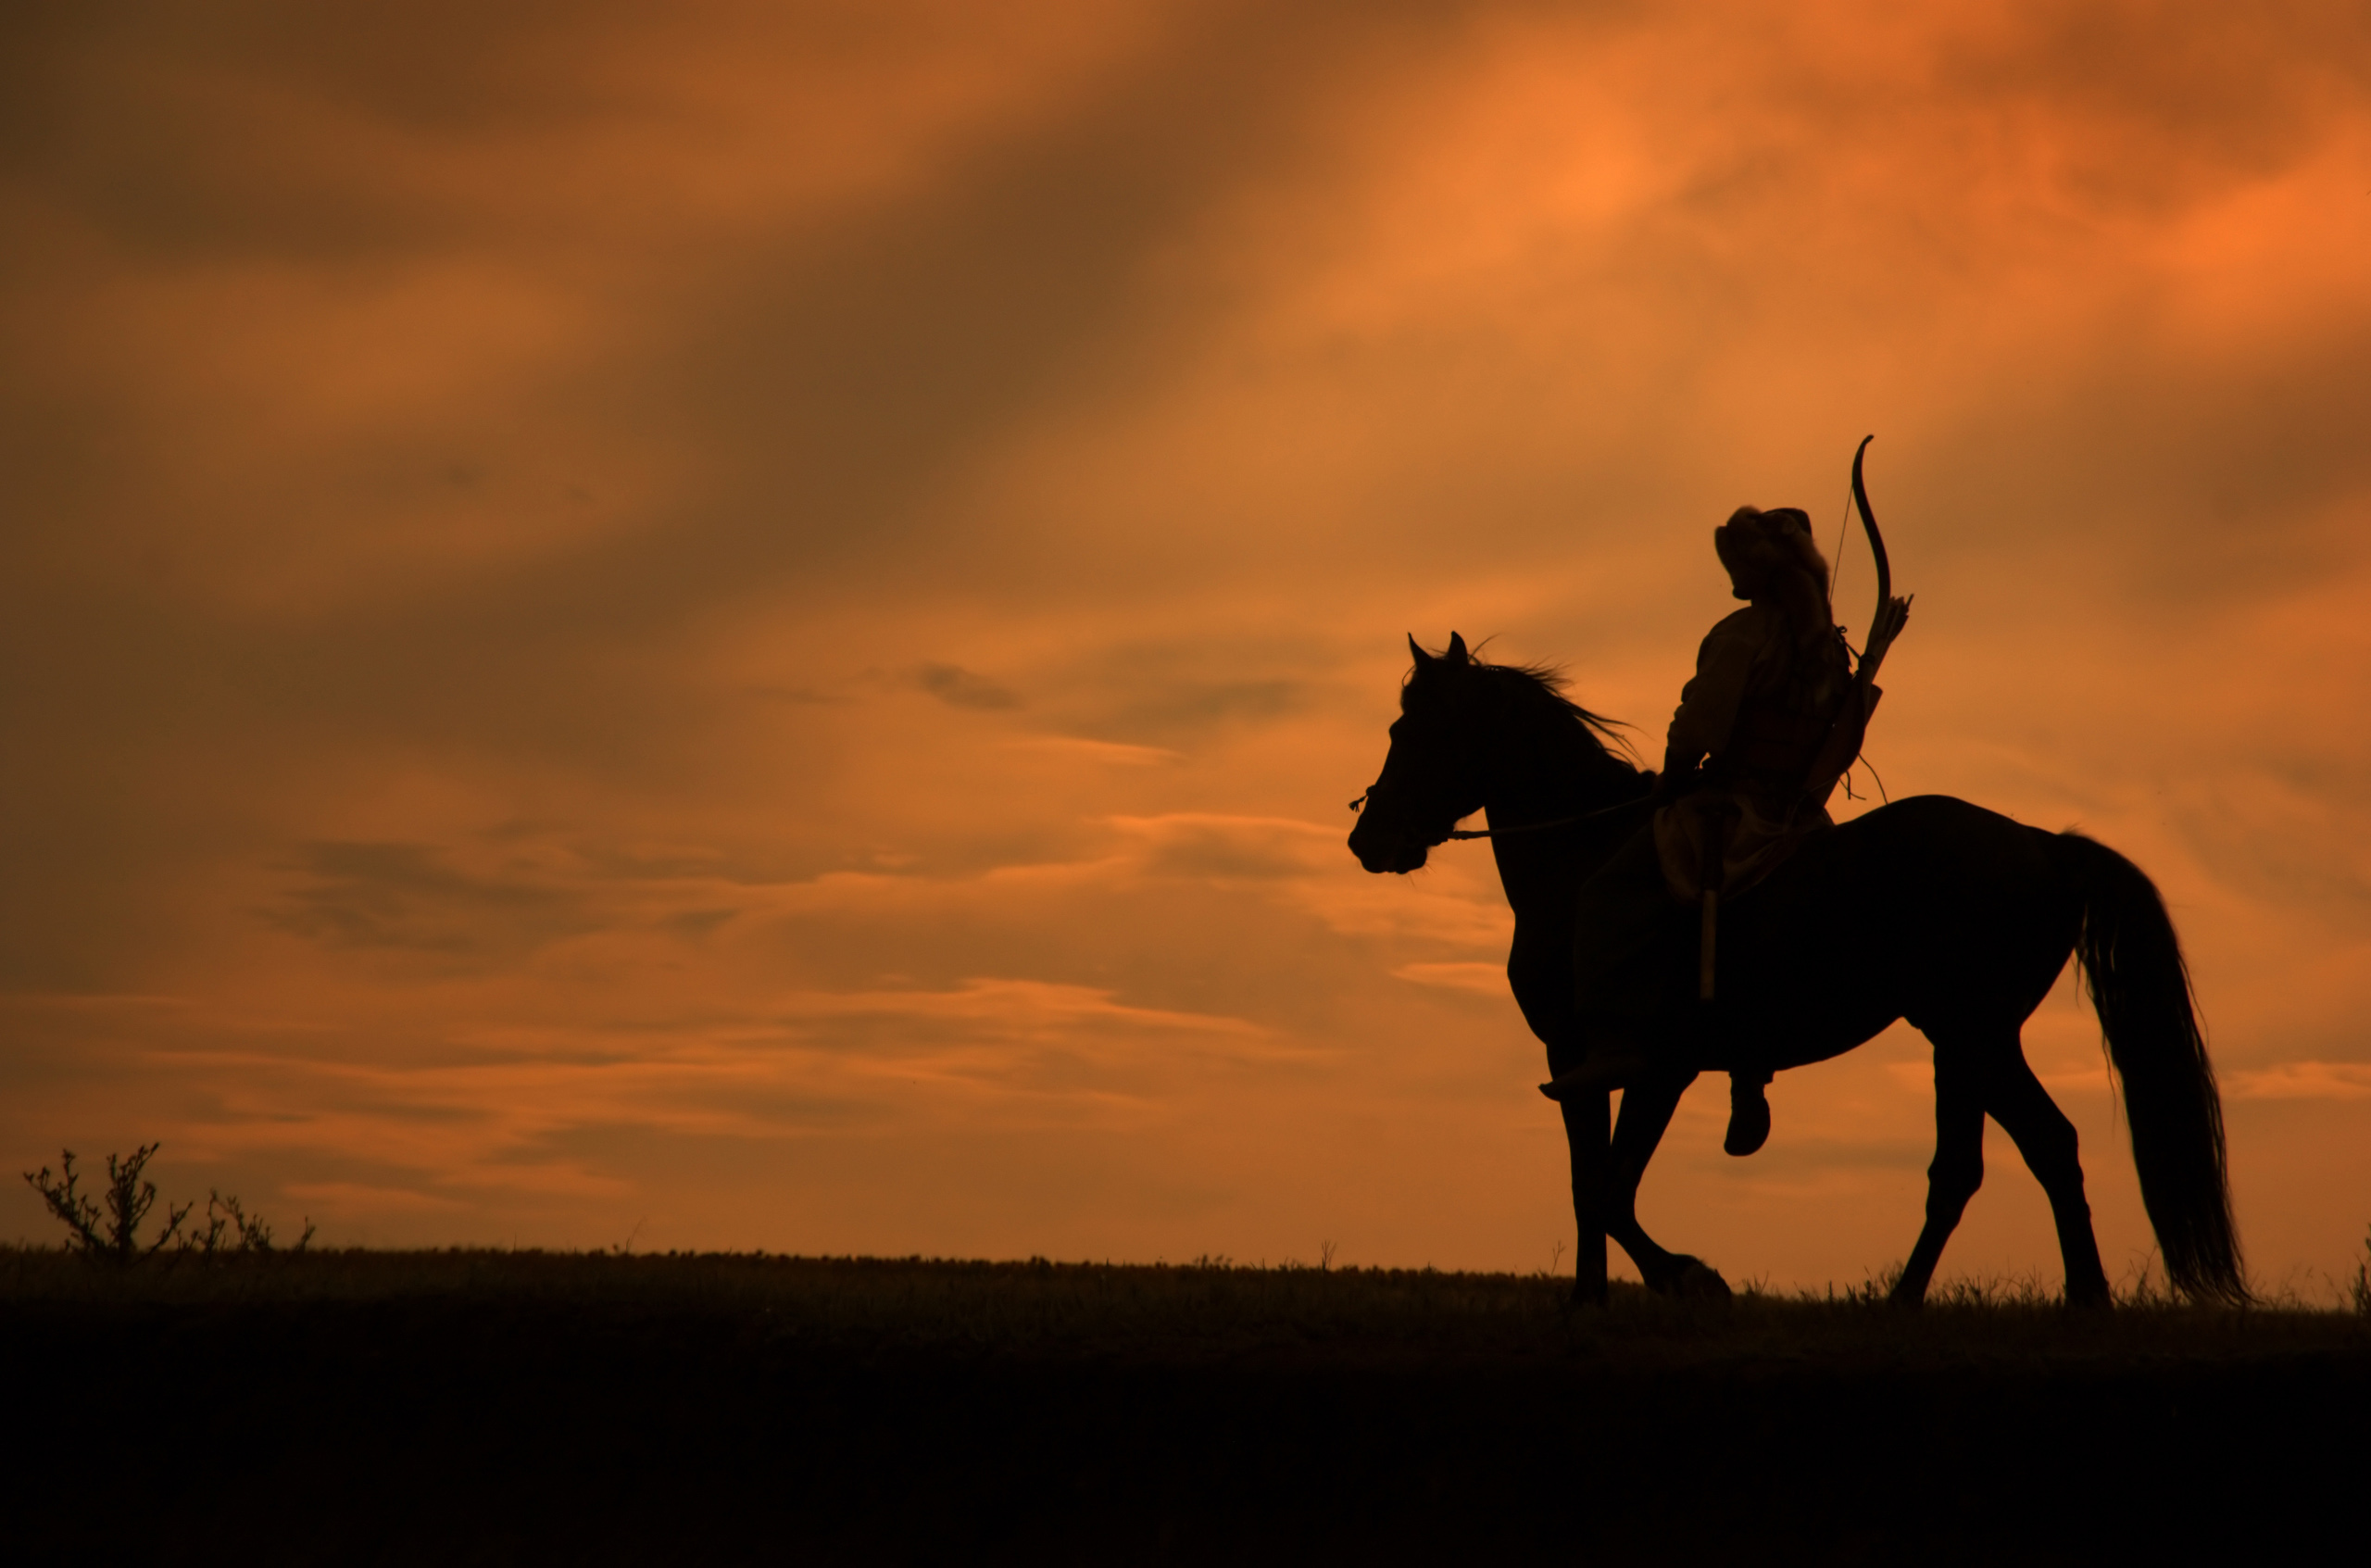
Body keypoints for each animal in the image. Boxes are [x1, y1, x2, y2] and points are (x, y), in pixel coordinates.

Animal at [1356, 631, 2238, 1299]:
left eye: (1409, 733)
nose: (1367, 838)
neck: (1582, 858)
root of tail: (2046, 844)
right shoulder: (1575, 1059)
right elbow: (1588, 1184)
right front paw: (1588, 1303)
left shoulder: (1654, 1064)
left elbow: (1610, 1188)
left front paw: (1690, 1277)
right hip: (1963, 1042)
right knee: (1979, 1164)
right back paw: (1924, 1304)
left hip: (1975, 1033)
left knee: (2032, 1148)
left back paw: (2055, 1300)